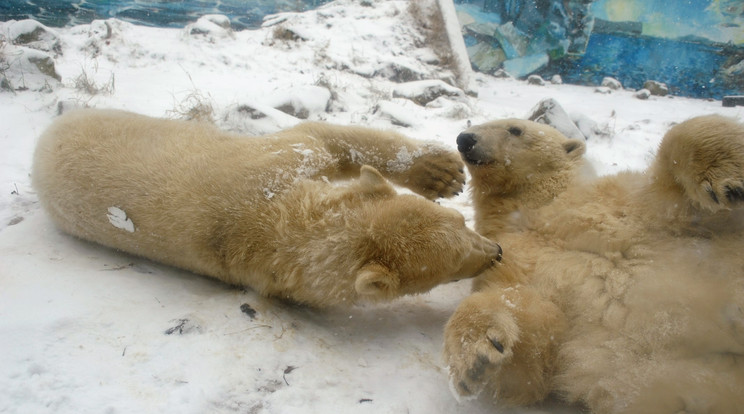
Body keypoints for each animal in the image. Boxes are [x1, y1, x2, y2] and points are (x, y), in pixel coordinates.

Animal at [32, 108, 502, 308]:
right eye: (454, 267)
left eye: (460, 220)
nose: (497, 252)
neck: (270, 218)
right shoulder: (273, 170)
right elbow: (317, 136)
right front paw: (441, 172)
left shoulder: (278, 175)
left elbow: (329, 139)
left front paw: (439, 172)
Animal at [444, 115, 740, 414]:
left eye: (515, 129)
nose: (465, 139)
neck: (538, 212)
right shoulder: (516, 254)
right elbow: (532, 335)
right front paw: (477, 356)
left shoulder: (620, 203)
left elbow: (673, 183)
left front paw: (727, 181)